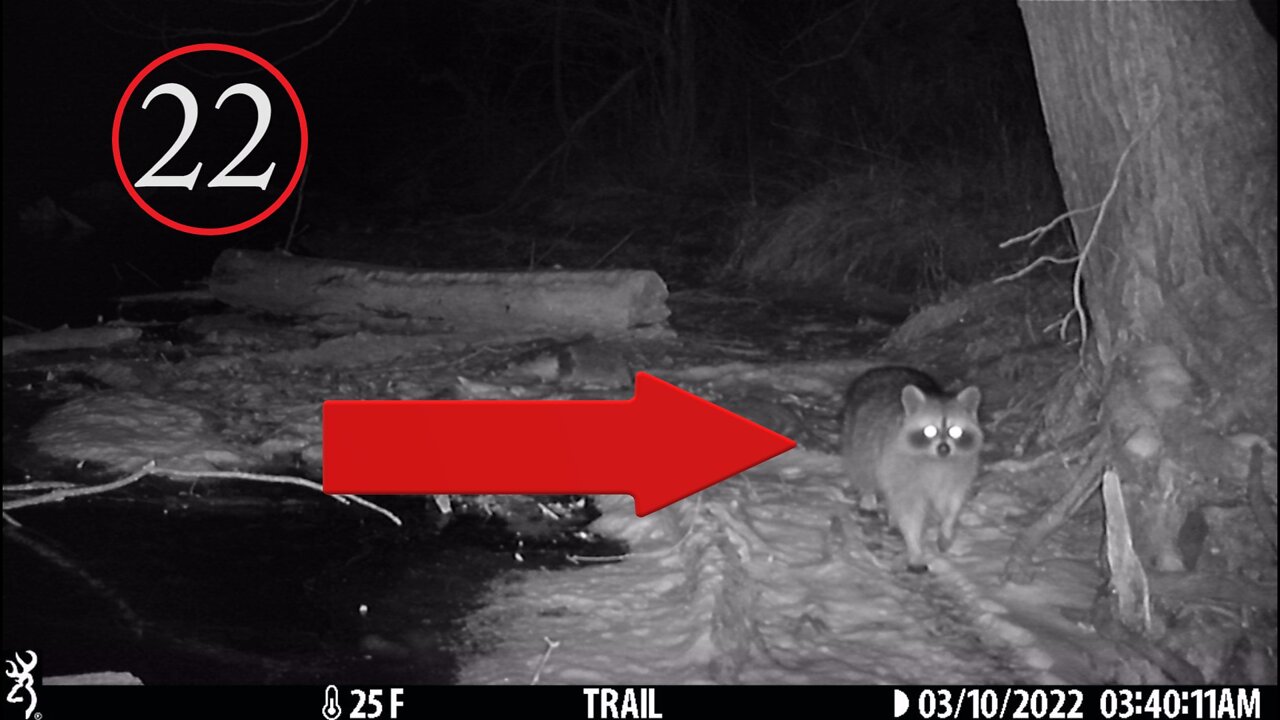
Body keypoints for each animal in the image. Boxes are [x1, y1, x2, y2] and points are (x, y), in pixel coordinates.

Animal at [840, 366, 983, 572]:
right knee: (864, 468)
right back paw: (868, 497)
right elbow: (910, 513)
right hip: (859, 439)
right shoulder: (902, 466)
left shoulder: (957, 471)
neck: (936, 461)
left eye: (955, 431)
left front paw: (946, 529)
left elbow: (952, 503)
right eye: (930, 430)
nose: (944, 448)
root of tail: (883, 369)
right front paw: (915, 549)